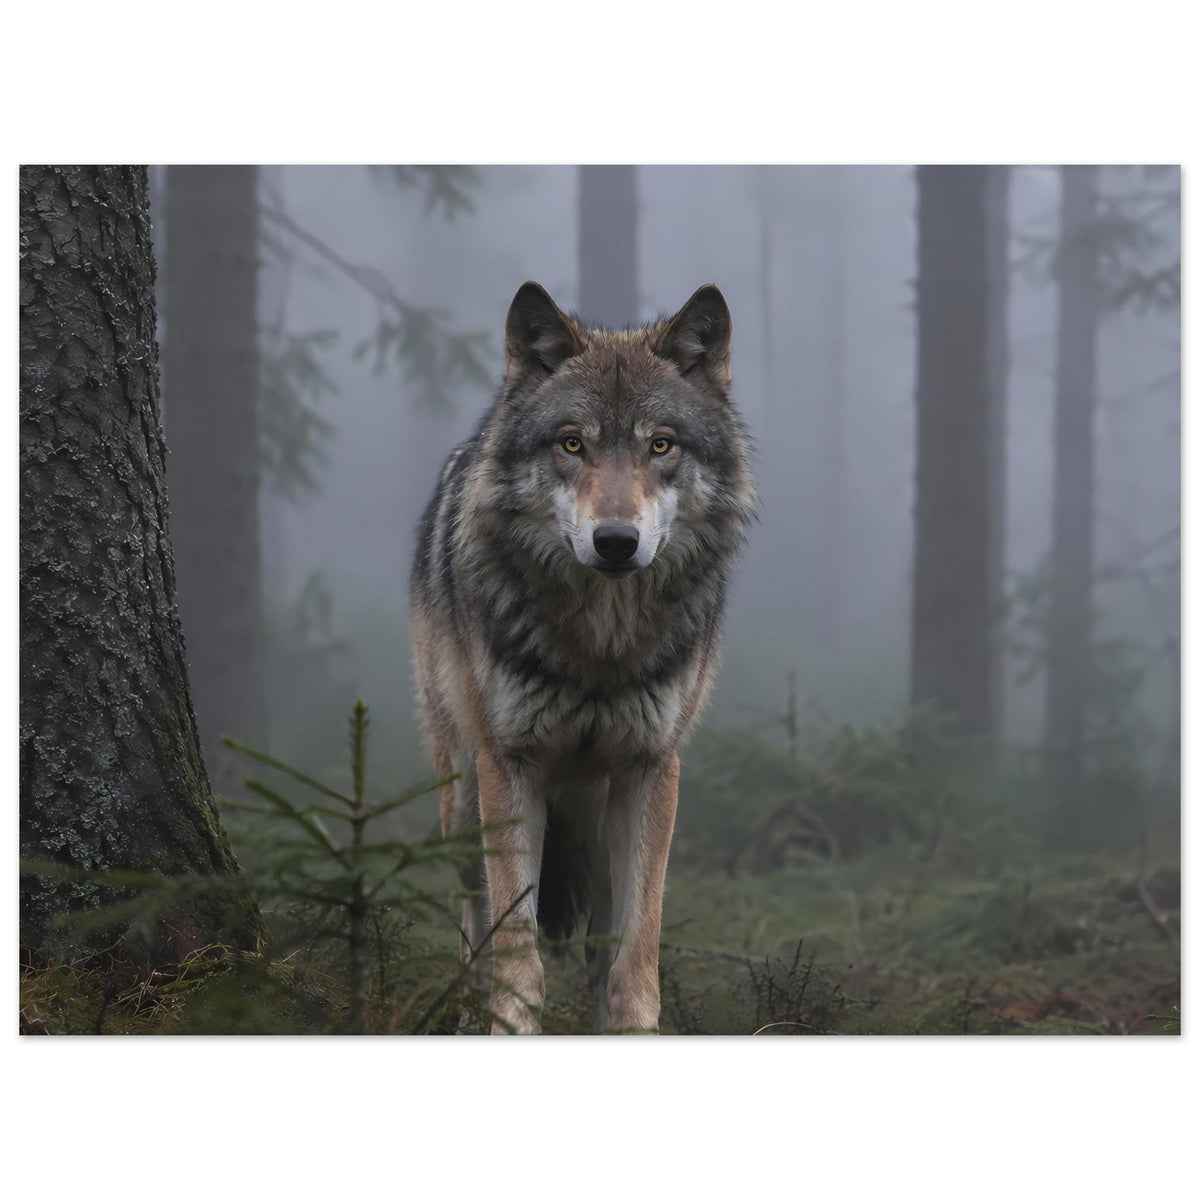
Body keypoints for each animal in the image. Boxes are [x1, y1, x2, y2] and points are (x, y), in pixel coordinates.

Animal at [410, 281, 755, 1033]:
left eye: (661, 445)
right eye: (573, 443)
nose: (616, 541)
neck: (601, 643)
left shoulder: (651, 769)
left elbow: (634, 957)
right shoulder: (510, 765)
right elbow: (516, 953)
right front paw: (508, 1026)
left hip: (595, 822)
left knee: (599, 944)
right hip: (461, 799)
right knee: (470, 923)